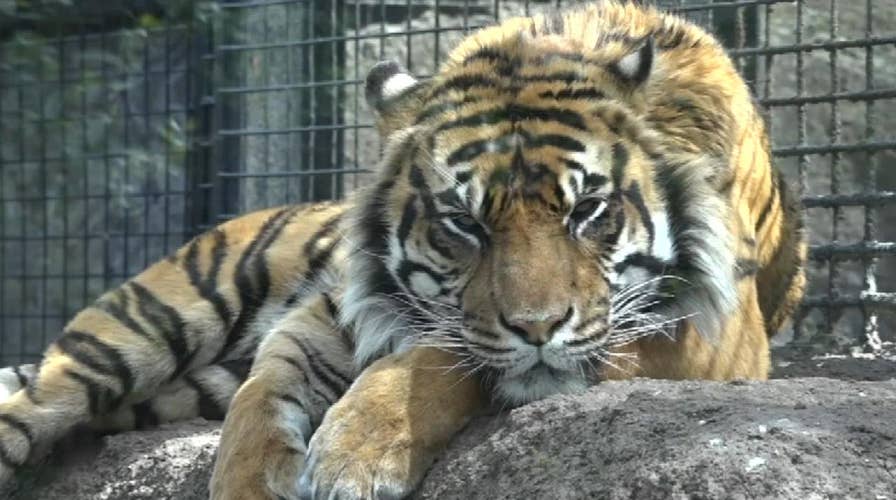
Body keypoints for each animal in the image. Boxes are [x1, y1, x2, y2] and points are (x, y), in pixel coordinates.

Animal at [0, 1, 806, 499]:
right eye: (465, 223)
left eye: (587, 212)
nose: (538, 327)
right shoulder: (325, 312)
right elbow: (263, 394)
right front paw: (253, 479)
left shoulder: (705, 338)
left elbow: (442, 355)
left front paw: (356, 450)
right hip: (140, 328)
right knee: (34, 404)